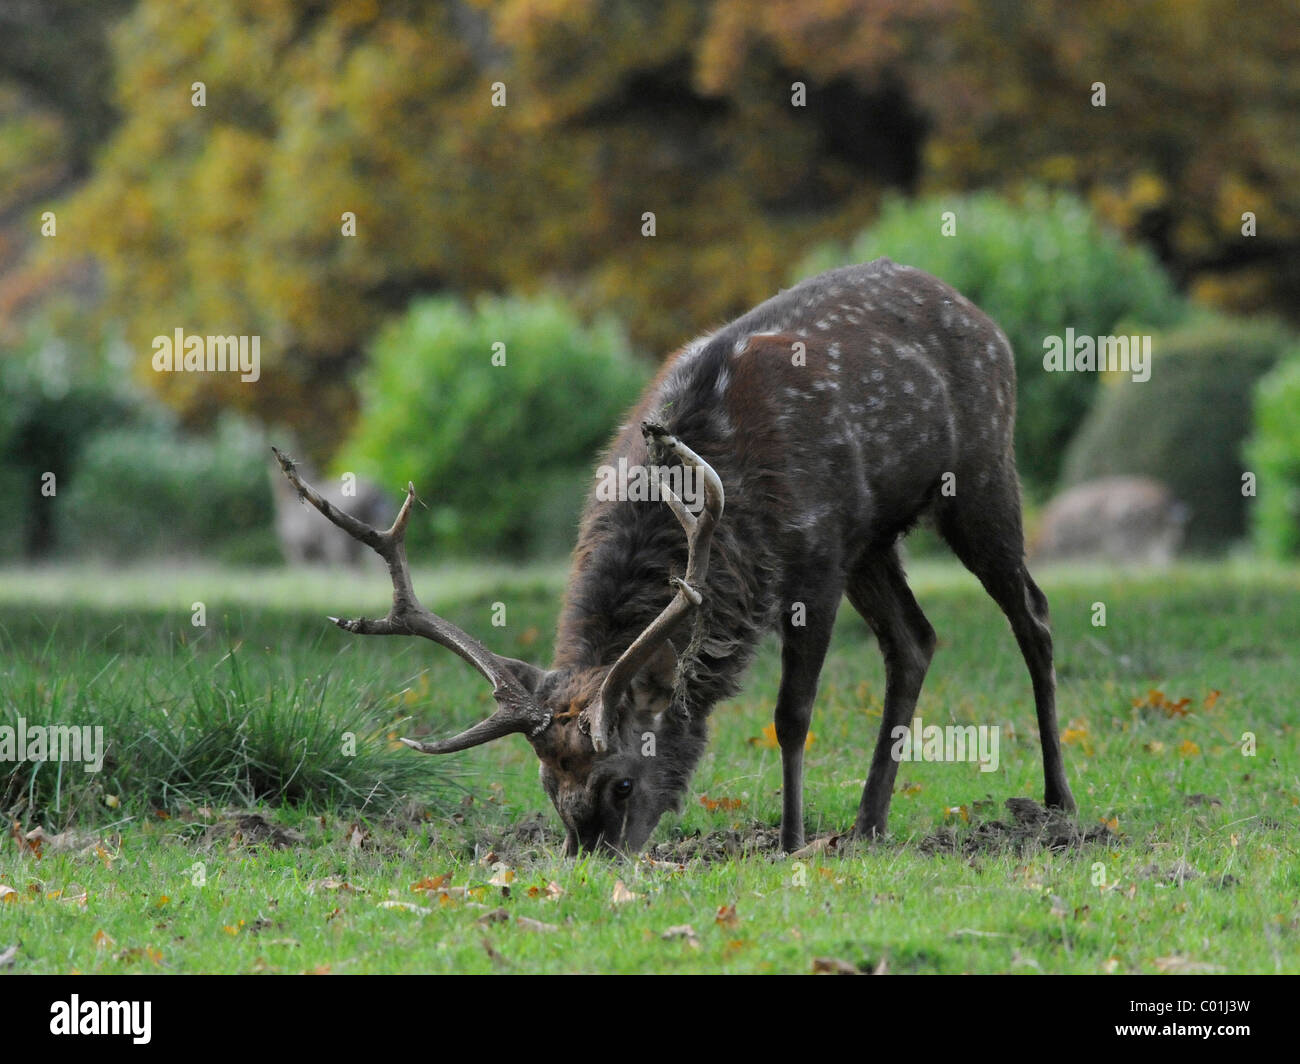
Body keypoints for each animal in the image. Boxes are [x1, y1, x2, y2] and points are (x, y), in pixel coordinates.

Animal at [272, 258, 1076, 855]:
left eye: (622, 782)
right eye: (547, 784)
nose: (593, 857)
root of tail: (984, 319)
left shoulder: (815, 553)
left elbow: (792, 712)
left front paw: (790, 840)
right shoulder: (836, 547)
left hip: (980, 473)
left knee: (1033, 616)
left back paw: (1057, 802)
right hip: (874, 540)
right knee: (915, 639)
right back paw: (869, 822)